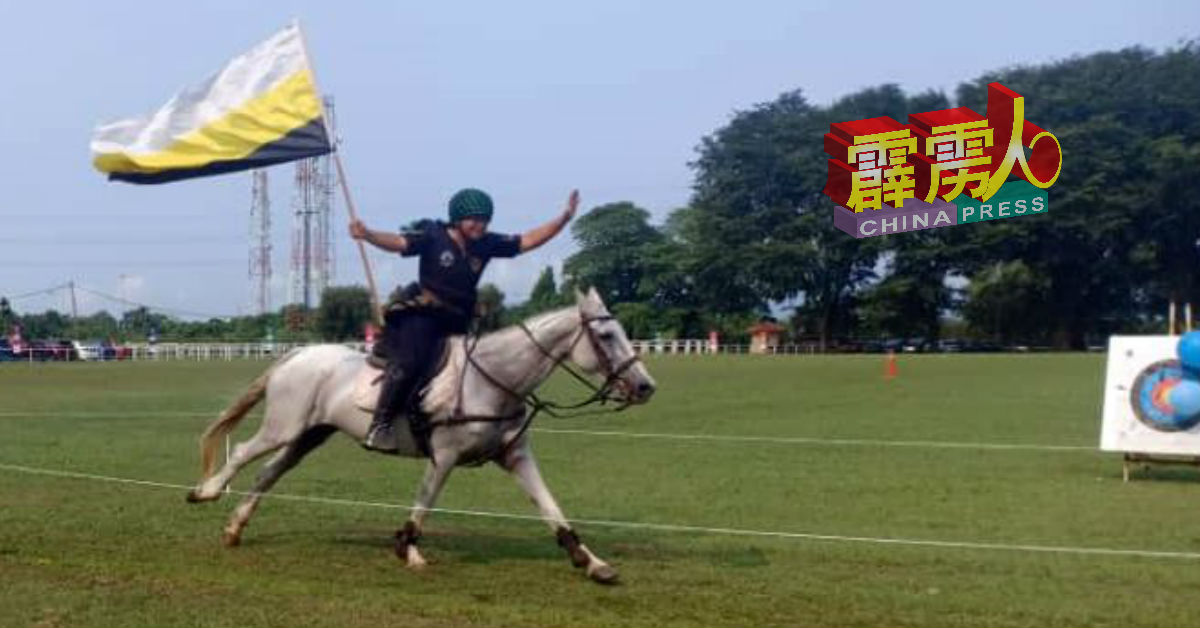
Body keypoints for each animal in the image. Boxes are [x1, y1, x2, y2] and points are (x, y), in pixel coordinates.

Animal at [184, 290, 657, 585]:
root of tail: (298, 353)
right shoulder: (443, 455)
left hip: (309, 434)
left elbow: (552, 509)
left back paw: (234, 528)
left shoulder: (516, 456)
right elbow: (424, 503)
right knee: (242, 452)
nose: (646, 386)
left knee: (269, 472)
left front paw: (592, 563)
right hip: (283, 426)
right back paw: (205, 492)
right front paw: (408, 550)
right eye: (606, 335)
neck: (494, 381)